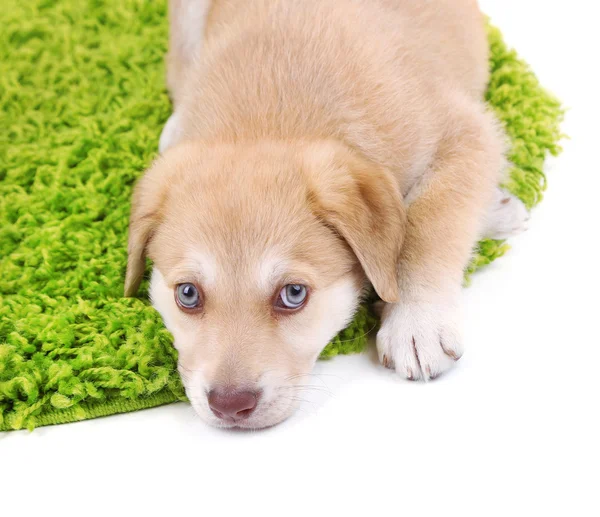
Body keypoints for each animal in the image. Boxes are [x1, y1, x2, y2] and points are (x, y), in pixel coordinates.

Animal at [125, 0, 524, 428]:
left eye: (293, 294)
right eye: (187, 294)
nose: (230, 406)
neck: (268, 118)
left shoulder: (466, 129)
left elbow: (431, 218)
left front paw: (417, 322)